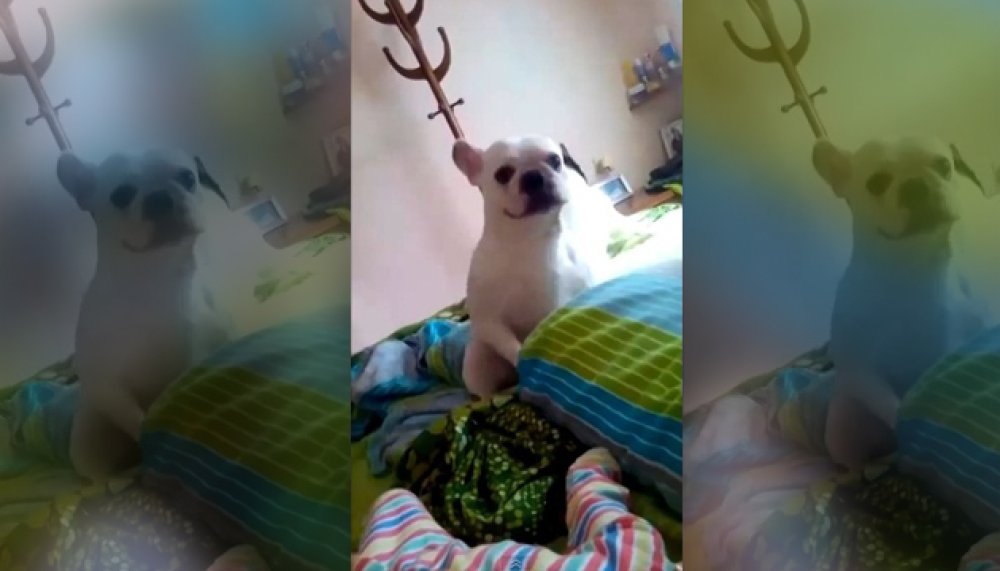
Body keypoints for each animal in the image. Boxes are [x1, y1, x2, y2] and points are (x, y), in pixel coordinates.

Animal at [57, 149, 232, 480]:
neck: (152, 277)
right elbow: (135, 420)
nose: (159, 197)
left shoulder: (199, 349)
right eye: (121, 195)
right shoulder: (109, 388)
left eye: (188, 178)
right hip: (89, 438)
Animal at [453, 135, 615, 397]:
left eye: (555, 160)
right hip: (477, 361)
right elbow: (512, 347)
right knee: (484, 385)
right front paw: (524, 360)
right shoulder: (491, 324)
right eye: (502, 174)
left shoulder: (560, 302)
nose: (533, 176)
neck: (528, 240)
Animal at [814, 136, 988, 468]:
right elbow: (893, 406)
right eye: (876, 183)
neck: (911, 266)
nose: (916, 184)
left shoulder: (953, 345)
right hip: (842, 428)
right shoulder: (864, 374)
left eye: (944, 165)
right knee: (855, 455)